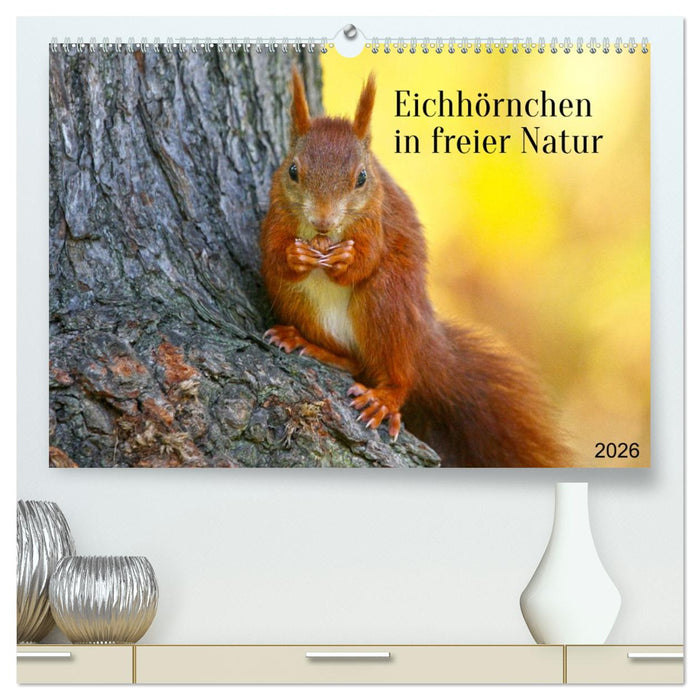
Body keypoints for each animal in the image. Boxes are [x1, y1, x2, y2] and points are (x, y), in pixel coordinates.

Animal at [260, 69, 572, 468]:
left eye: (362, 178)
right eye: (293, 171)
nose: (323, 222)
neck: (323, 239)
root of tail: (421, 340)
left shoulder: (376, 221)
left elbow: (366, 260)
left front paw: (346, 260)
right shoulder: (276, 213)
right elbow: (271, 252)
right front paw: (295, 256)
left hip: (387, 302)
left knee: (398, 374)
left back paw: (384, 399)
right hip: (295, 301)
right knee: (353, 361)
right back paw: (304, 342)